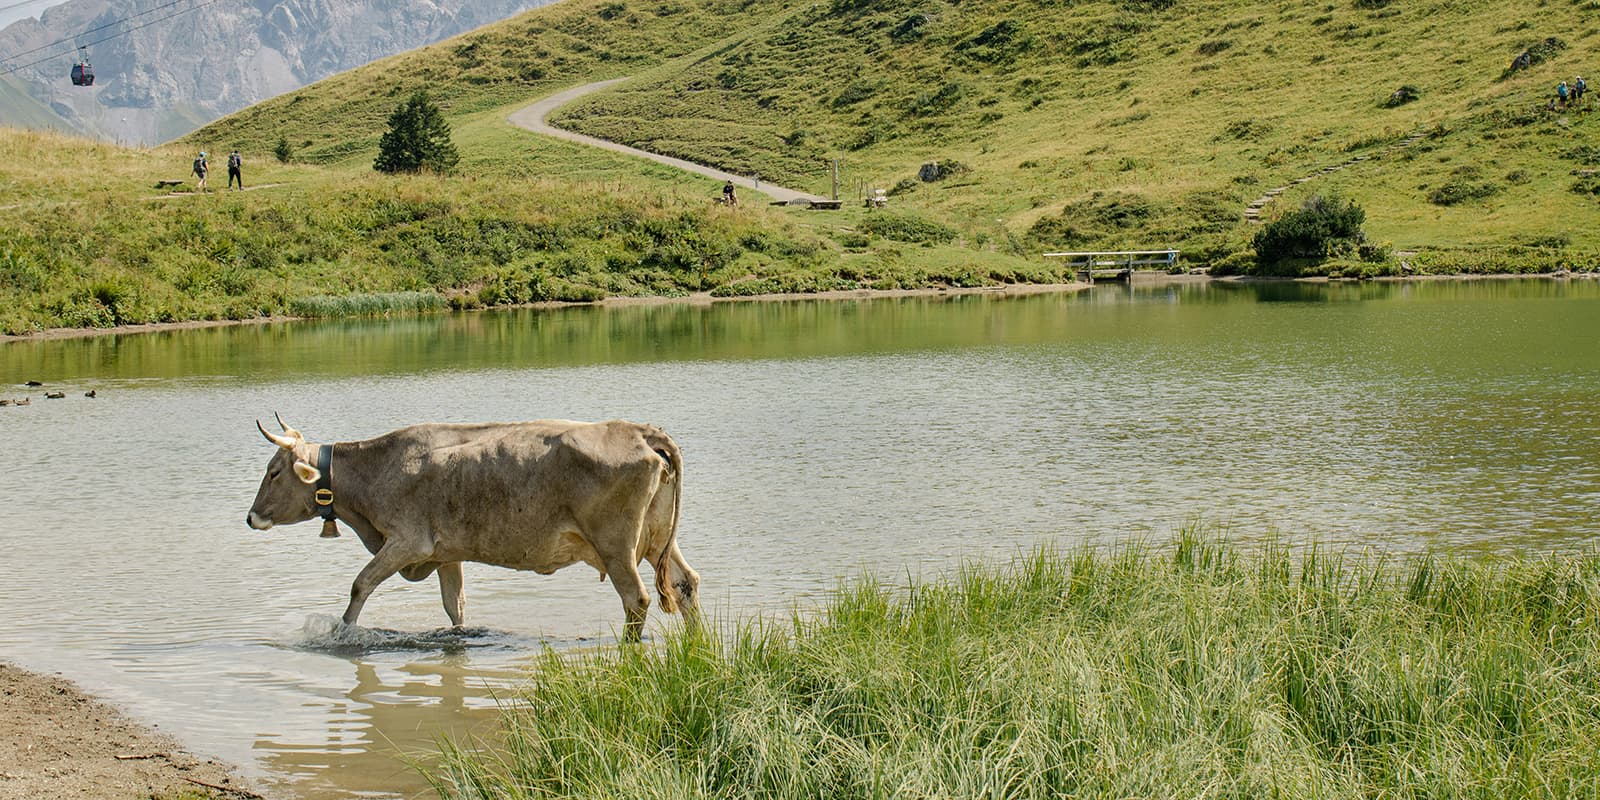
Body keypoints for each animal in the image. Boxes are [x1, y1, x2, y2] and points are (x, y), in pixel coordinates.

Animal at [244, 416, 700, 640]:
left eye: (273, 472)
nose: (250, 517)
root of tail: (640, 432)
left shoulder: (406, 541)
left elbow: (361, 584)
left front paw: (343, 633)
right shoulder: (445, 553)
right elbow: (455, 605)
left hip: (615, 543)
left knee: (637, 599)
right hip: (658, 539)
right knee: (685, 583)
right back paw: (697, 647)